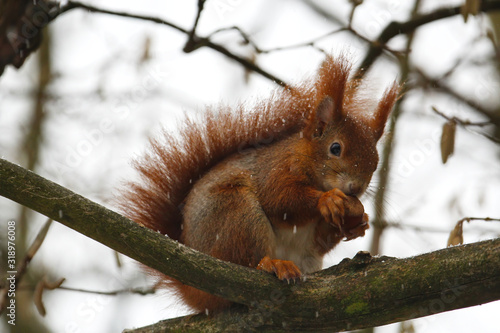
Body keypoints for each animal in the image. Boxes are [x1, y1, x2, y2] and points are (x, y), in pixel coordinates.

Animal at [120, 53, 398, 312]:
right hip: (236, 213)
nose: (356, 189)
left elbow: (323, 237)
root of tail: (194, 290)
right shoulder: (273, 171)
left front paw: (359, 223)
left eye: (376, 162)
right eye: (335, 148)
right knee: (249, 261)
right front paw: (327, 200)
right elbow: (281, 200)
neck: (306, 161)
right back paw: (272, 264)